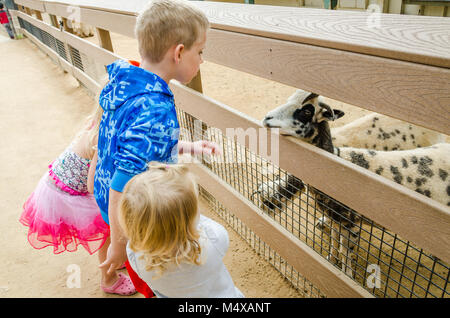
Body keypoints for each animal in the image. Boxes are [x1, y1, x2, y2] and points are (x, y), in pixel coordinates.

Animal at [256, 89, 450, 276]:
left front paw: (347, 274)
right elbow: (334, 243)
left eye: (306, 111)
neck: (338, 157)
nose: (266, 118)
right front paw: (330, 260)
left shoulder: (351, 223)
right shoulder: (336, 219)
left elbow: (345, 251)